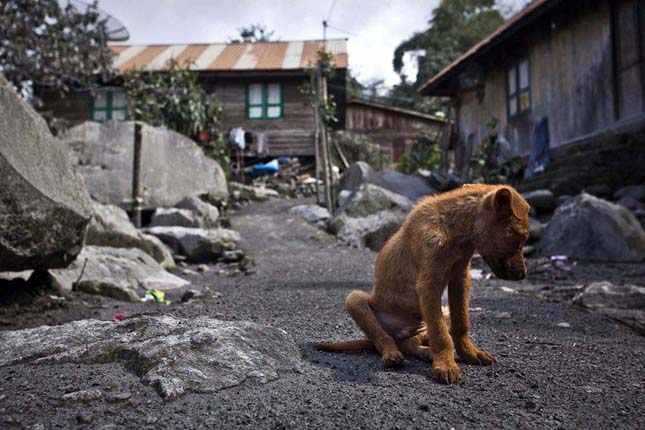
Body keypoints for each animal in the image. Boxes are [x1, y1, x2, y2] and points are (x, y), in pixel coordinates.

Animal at [314, 183, 532, 384]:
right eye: (520, 238)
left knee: (410, 344)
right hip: (355, 300)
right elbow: (440, 334)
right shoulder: (429, 284)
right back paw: (392, 354)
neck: (454, 229)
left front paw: (469, 353)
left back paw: (425, 352)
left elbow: (461, 323)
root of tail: (401, 335)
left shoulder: (460, 277)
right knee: (382, 339)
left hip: (439, 313)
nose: (523, 275)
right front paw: (445, 364)